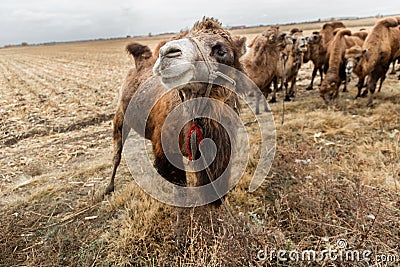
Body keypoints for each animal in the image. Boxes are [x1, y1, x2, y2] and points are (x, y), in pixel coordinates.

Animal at [105, 17, 247, 206]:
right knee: (117, 153)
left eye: (221, 51)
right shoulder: (167, 150)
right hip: (121, 116)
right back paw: (108, 188)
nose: (168, 53)